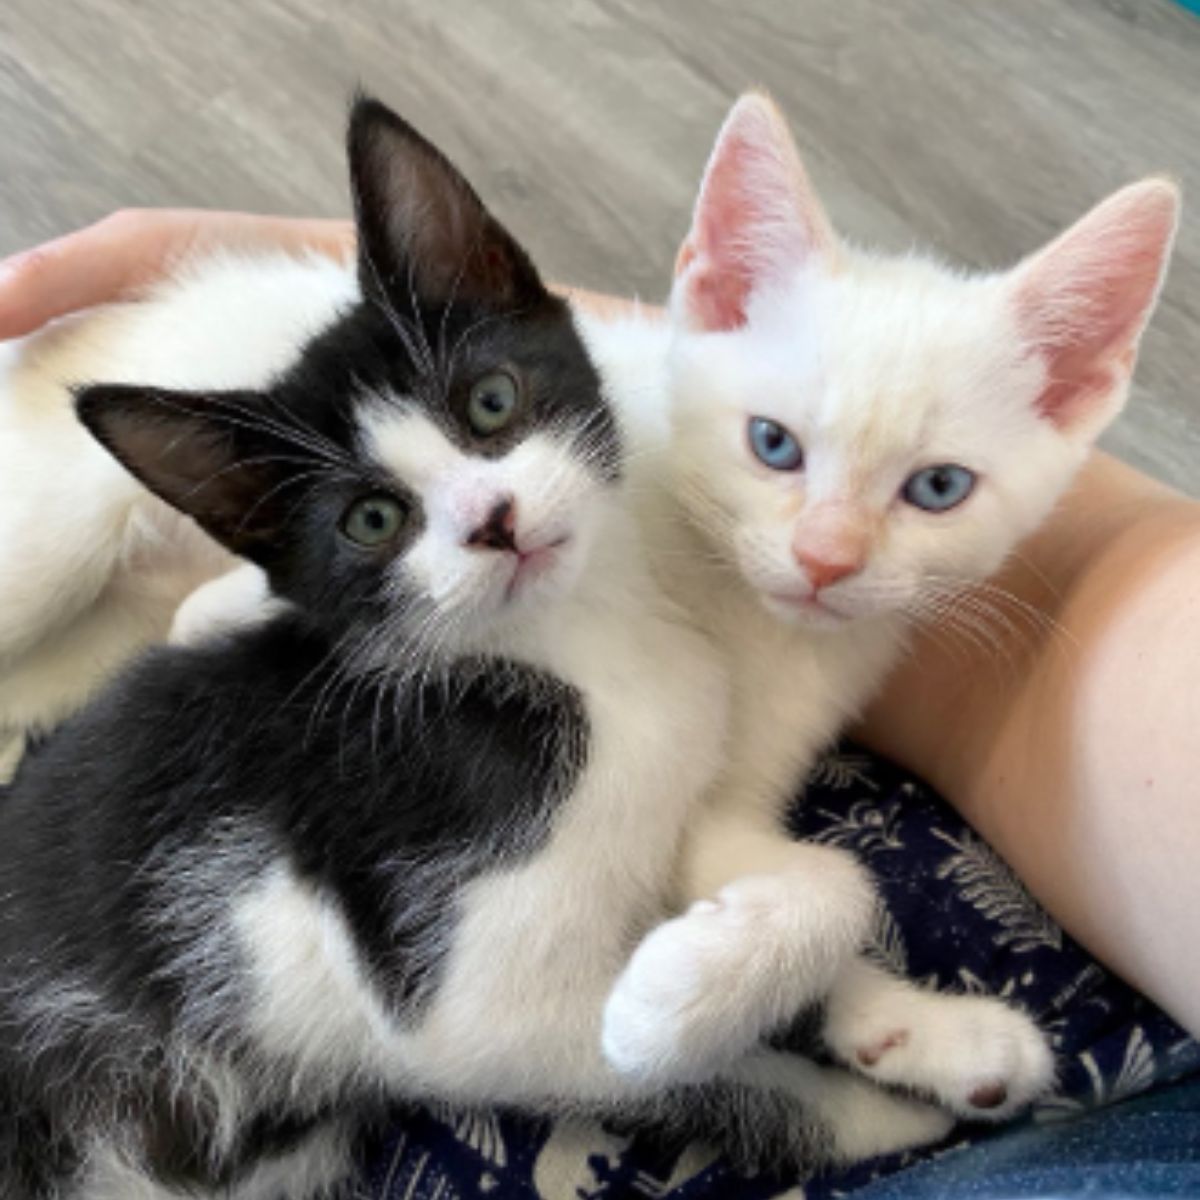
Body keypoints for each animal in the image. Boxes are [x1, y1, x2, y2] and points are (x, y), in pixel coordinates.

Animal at [0, 100, 945, 1200]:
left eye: (492, 401)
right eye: (370, 519)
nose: (492, 521)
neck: (578, 651)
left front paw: (927, 1036)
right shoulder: (463, 1006)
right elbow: (687, 1070)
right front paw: (879, 1116)